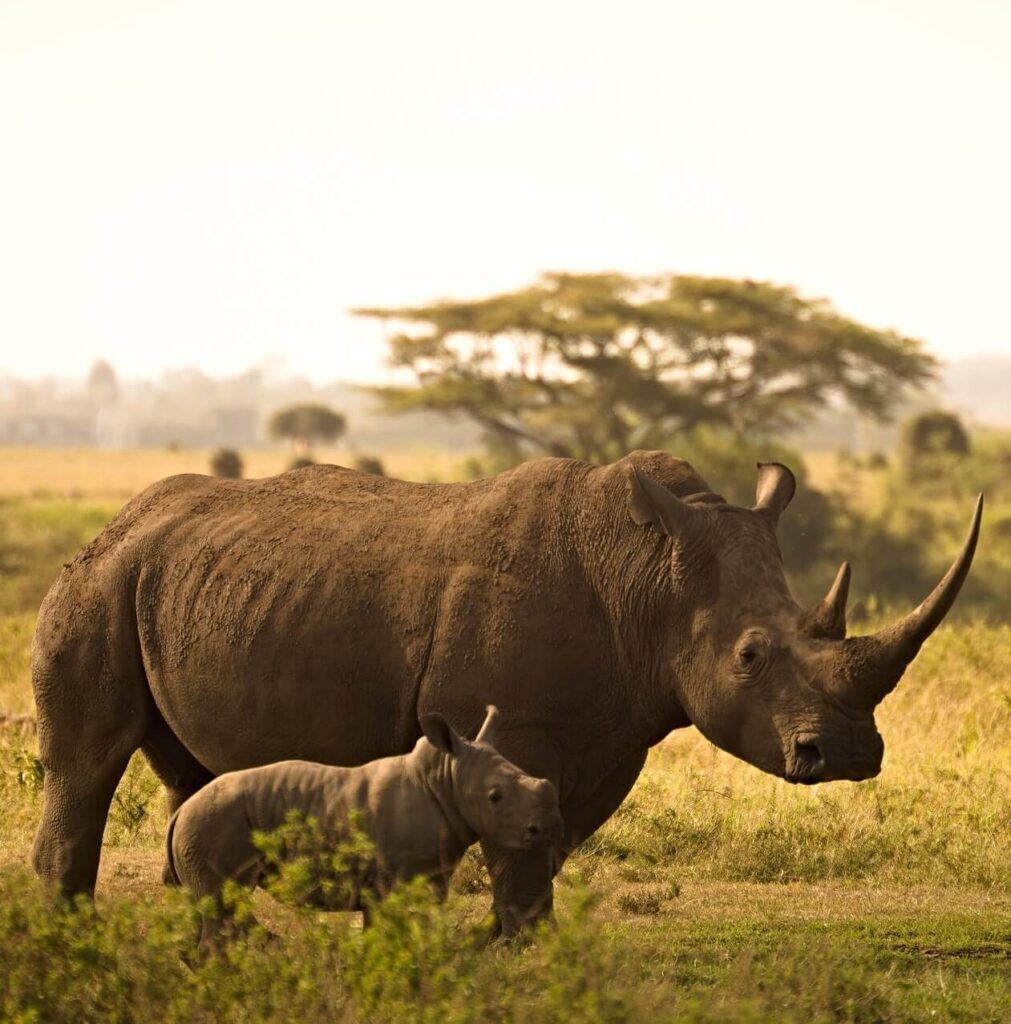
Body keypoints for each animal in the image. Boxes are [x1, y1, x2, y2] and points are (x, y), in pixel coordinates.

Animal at [164, 704, 561, 942]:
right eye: (495, 797)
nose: (546, 828)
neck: (445, 780)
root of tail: (179, 815)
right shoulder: (398, 879)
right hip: (212, 825)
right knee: (222, 909)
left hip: (203, 827)